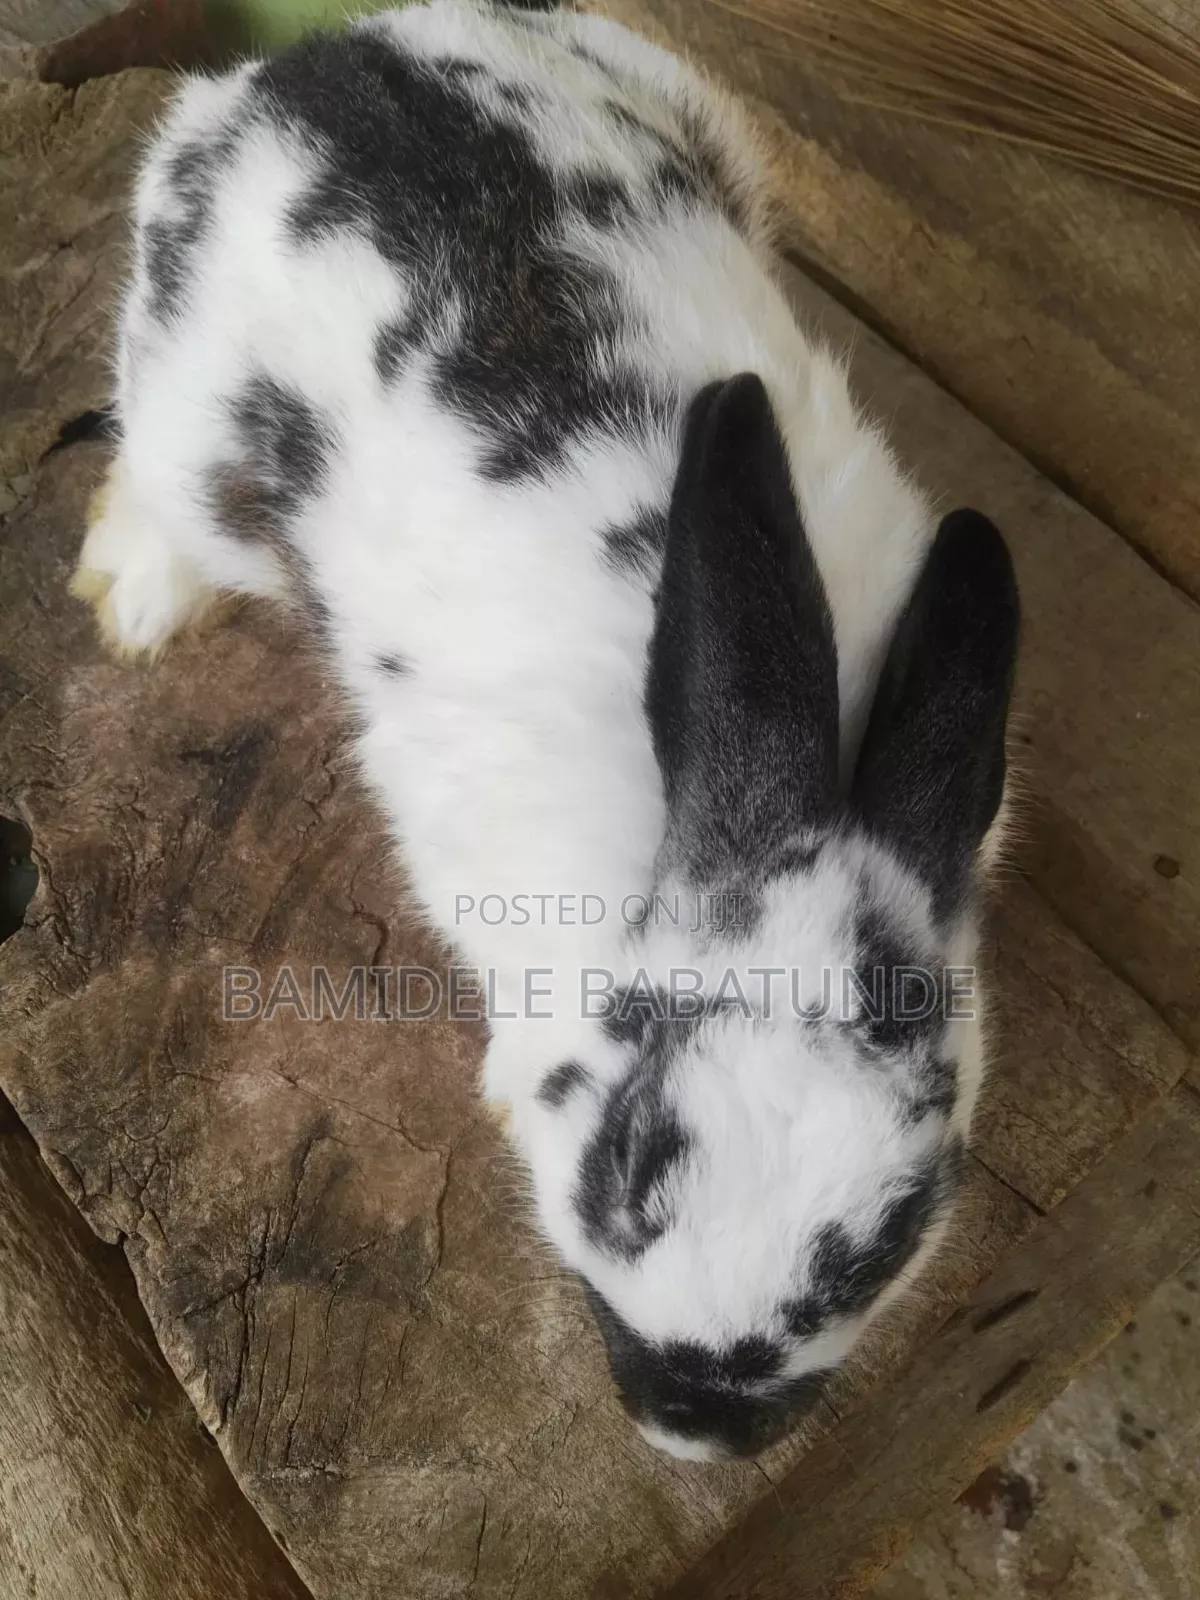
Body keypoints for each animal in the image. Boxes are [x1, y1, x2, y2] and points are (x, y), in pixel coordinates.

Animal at [73, 0, 1019, 1461]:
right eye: (630, 1164)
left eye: (891, 1232)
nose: (695, 1428)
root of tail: (306, 64)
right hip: (191, 430)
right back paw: (133, 598)